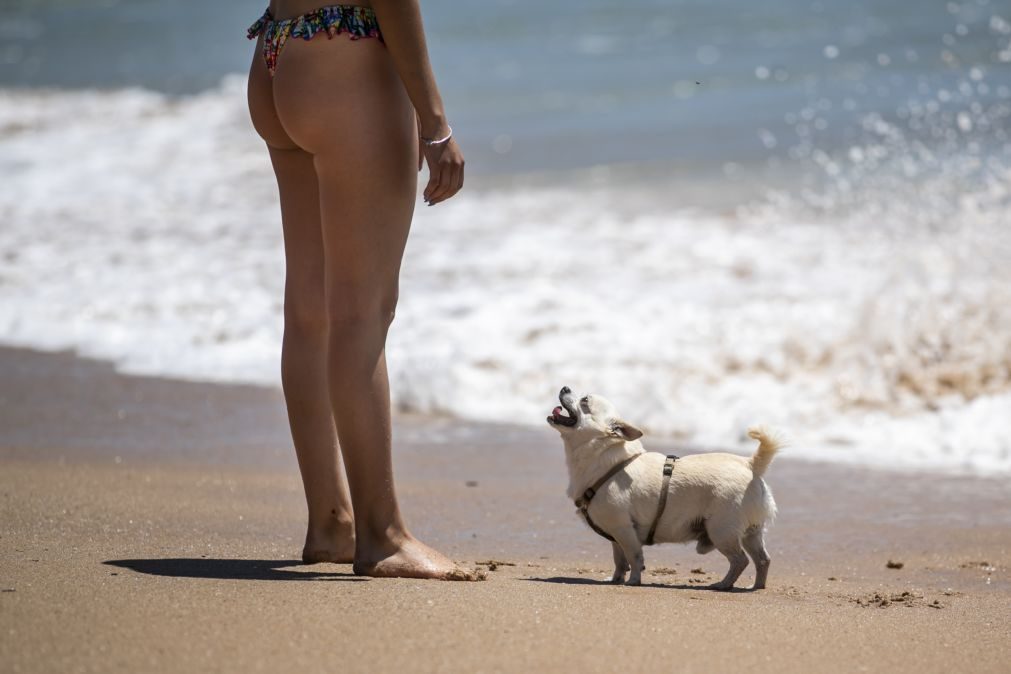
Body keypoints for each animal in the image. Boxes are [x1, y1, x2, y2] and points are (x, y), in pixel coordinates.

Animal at [554, 388, 780, 586]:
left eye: (584, 401)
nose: (564, 387)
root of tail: (751, 465)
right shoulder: (615, 536)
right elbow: (619, 560)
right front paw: (616, 579)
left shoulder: (624, 531)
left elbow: (634, 558)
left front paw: (633, 581)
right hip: (751, 533)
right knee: (762, 559)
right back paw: (757, 586)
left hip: (721, 531)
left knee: (740, 560)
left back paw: (723, 584)